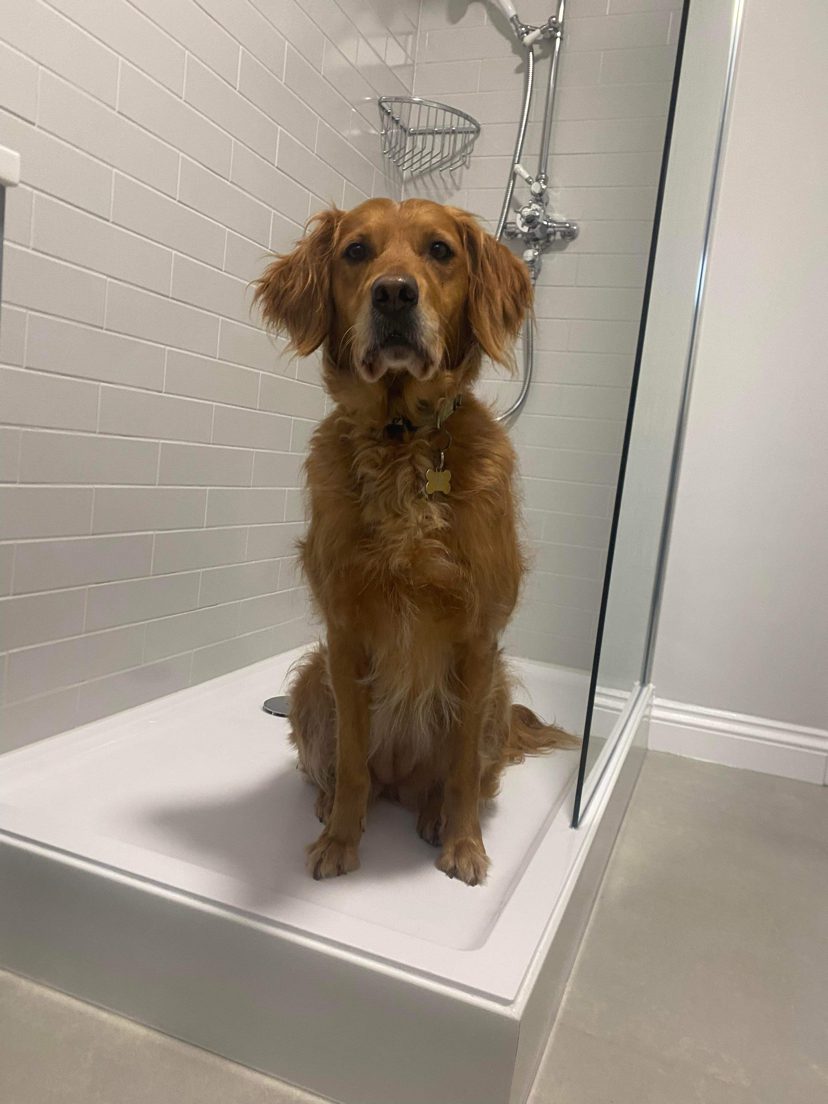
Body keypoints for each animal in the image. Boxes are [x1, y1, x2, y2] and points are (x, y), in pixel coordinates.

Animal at [254, 198, 575, 886]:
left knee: (457, 778)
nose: (395, 294)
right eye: (355, 251)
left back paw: (431, 815)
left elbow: (461, 773)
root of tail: (399, 782)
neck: (401, 438)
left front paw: (464, 846)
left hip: (497, 692)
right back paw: (330, 804)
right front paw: (340, 840)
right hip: (312, 679)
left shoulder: (478, 640)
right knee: (346, 772)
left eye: (439, 250)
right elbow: (351, 763)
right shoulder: (344, 635)